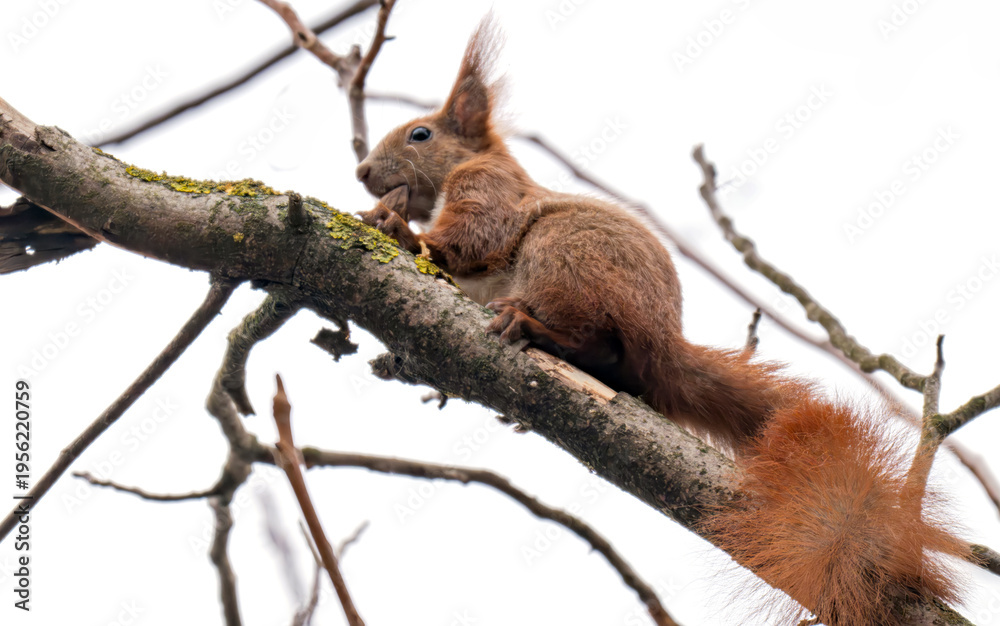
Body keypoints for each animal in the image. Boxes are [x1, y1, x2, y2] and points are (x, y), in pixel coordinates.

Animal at [355, 16, 971, 625]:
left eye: (420, 135)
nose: (361, 170)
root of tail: (663, 344)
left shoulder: (489, 189)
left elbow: (472, 237)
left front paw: (398, 227)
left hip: (563, 253)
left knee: (595, 340)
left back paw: (533, 329)